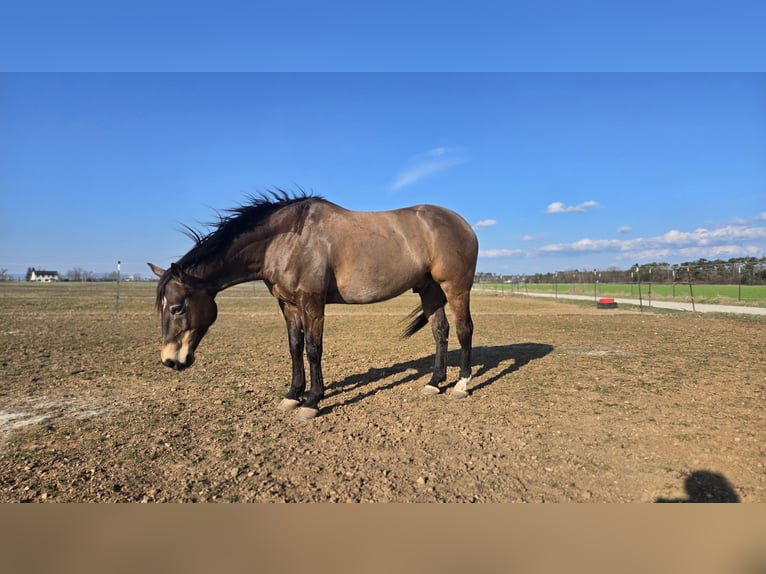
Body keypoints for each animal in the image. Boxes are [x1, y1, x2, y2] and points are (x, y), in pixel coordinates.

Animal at [148, 191, 478, 420]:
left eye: (177, 307)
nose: (170, 360)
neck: (285, 241)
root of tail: (463, 224)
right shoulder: (289, 305)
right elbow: (295, 347)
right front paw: (293, 394)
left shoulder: (312, 302)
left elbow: (313, 349)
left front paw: (312, 401)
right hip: (430, 290)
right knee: (441, 331)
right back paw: (435, 383)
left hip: (456, 288)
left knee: (464, 329)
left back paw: (462, 385)